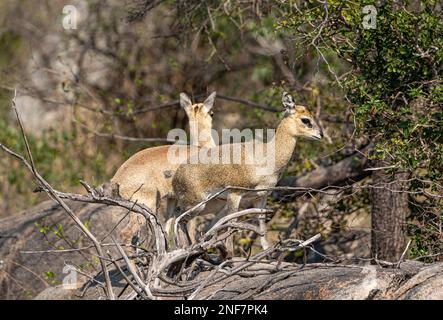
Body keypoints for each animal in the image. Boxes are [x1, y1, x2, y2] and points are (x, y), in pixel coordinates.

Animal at [173, 91, 322, 251]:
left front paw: (267, 252)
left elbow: (261, 226)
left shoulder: (261, 197)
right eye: (305, 119)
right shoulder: (234, 195)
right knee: (179, 220)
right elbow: (230, 227)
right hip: (197, 204)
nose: (320, 134)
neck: (266, 155)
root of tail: (176, 177)